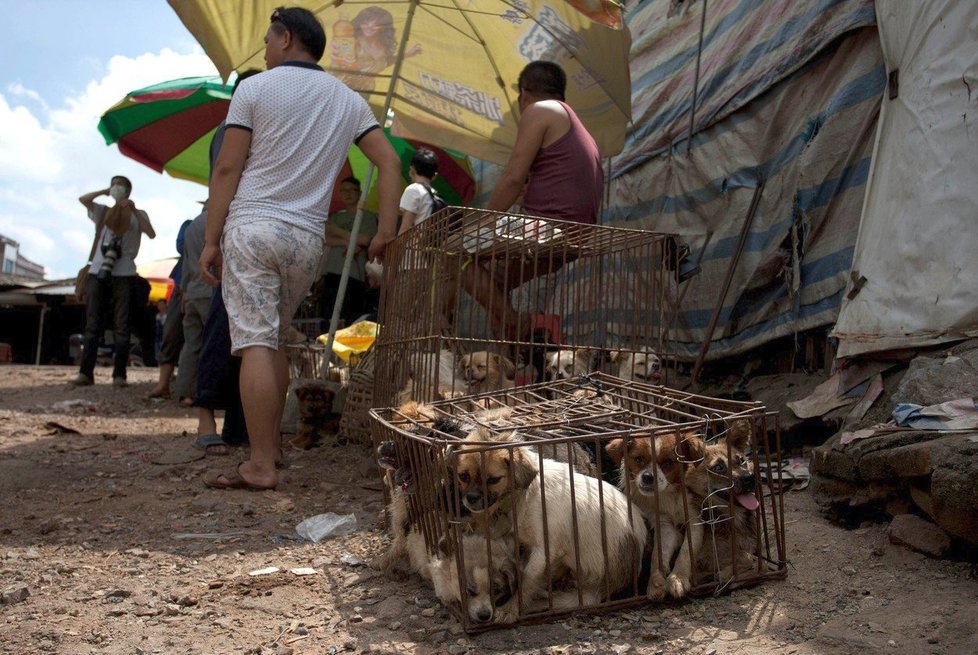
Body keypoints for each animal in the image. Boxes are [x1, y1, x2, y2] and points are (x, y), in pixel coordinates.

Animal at [450, 430, 648, 620]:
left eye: (493, 480)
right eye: (463, 476)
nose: (470, 499)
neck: (523, 495)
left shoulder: (545, 550)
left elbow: (526, 580)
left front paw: (510, 609)